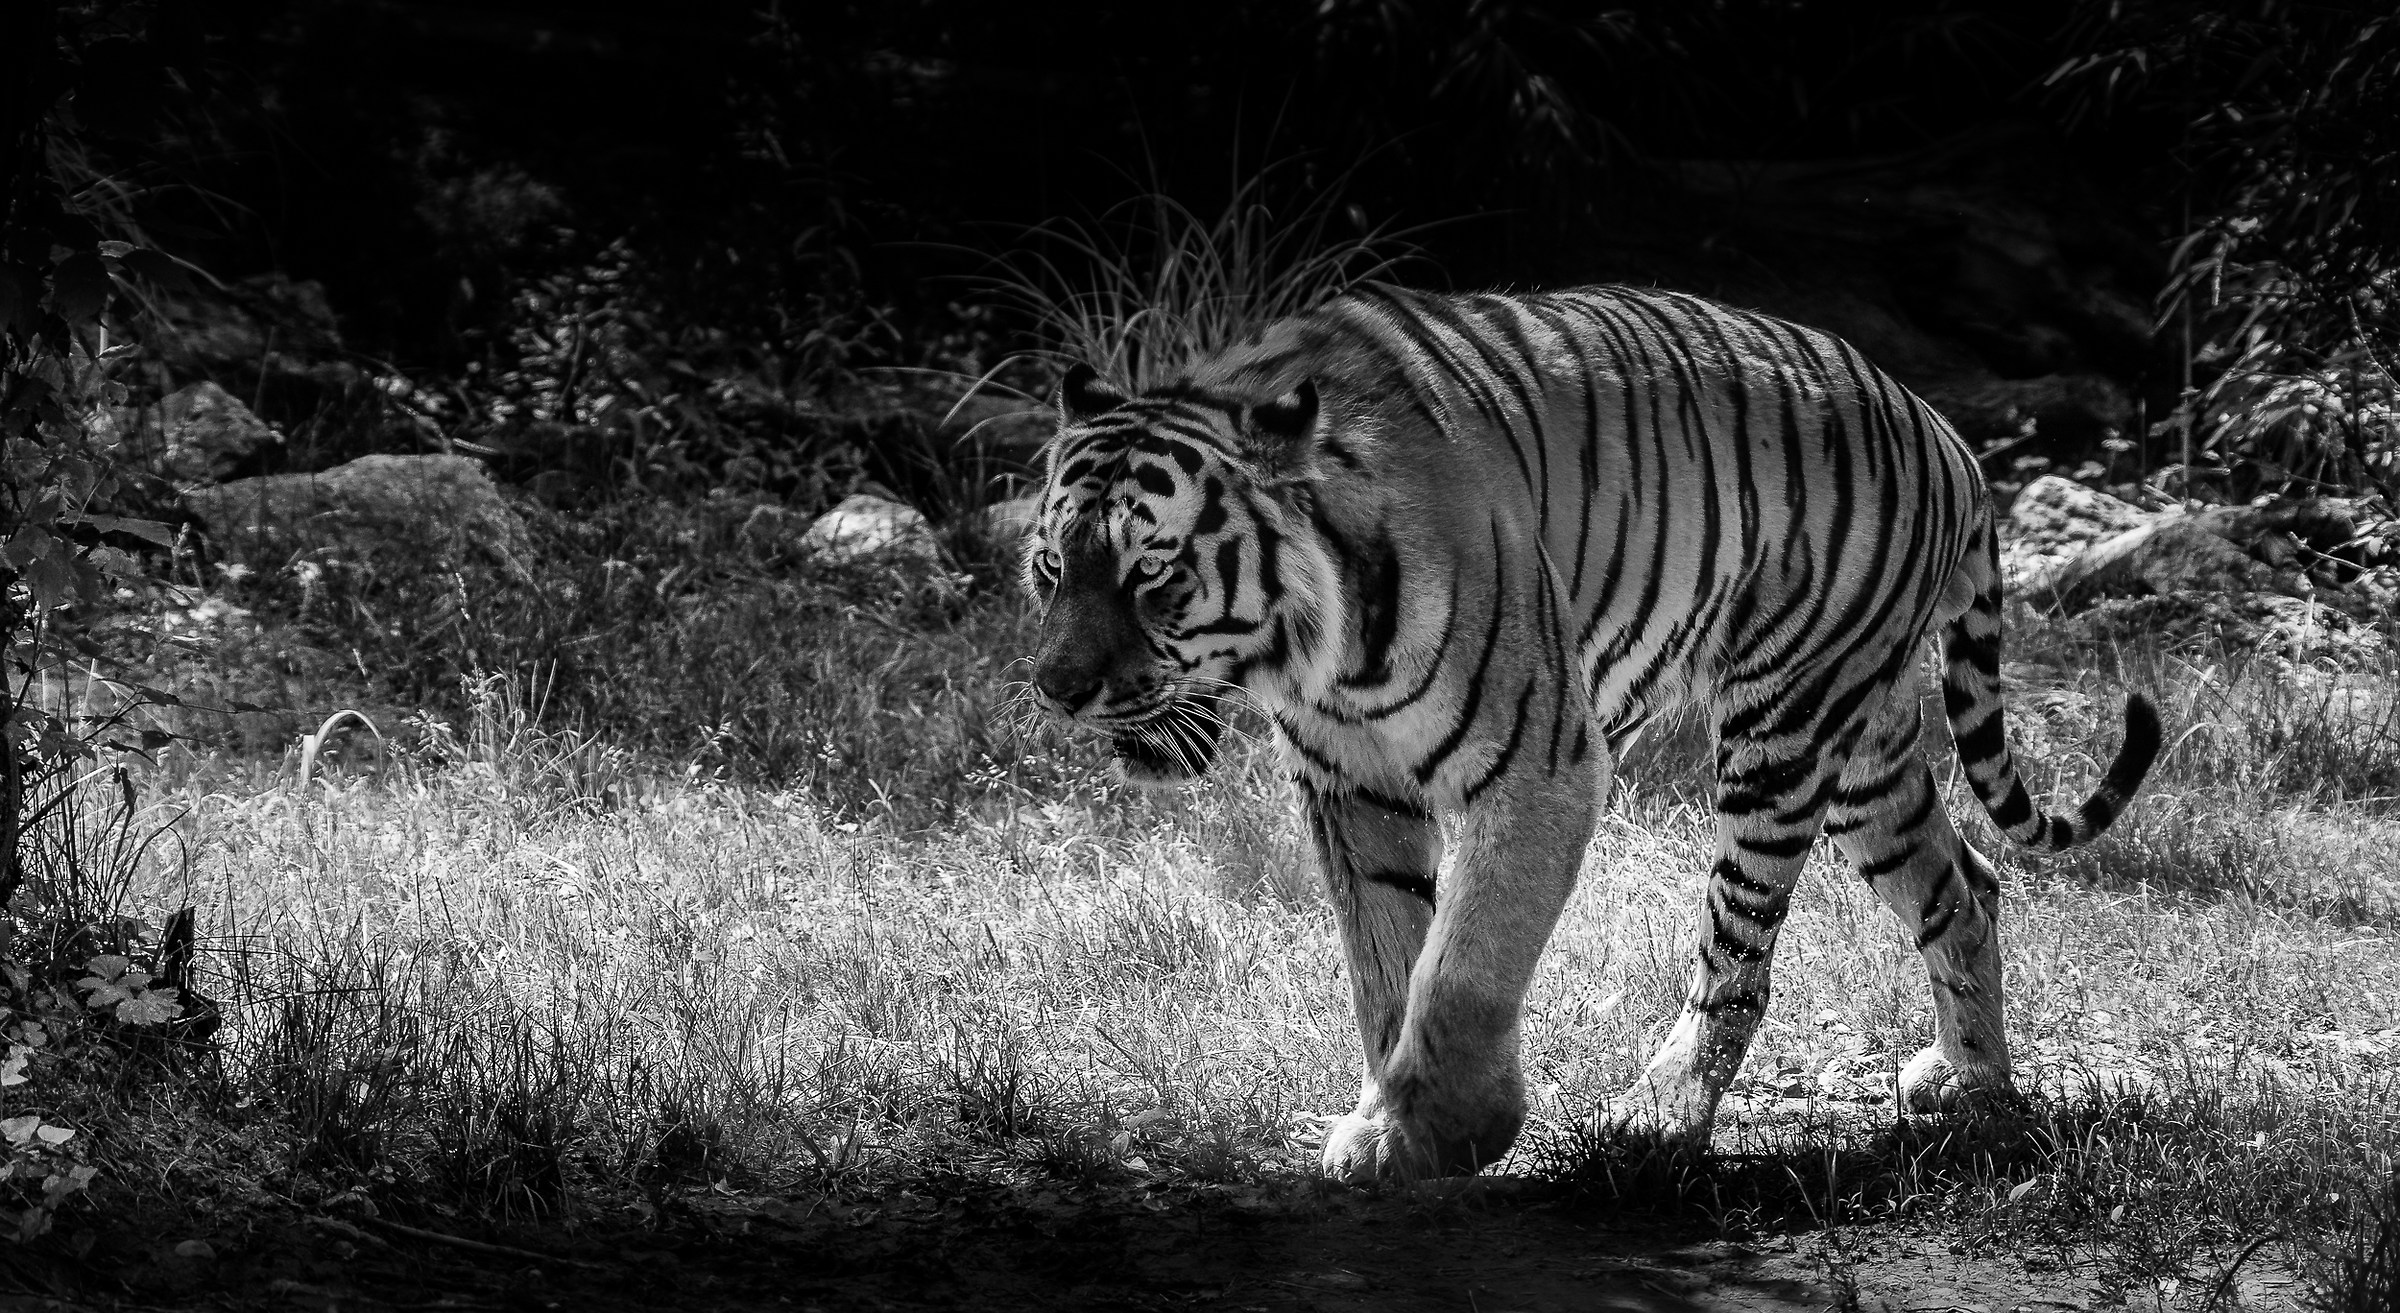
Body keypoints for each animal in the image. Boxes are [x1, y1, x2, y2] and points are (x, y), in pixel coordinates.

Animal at [1021, 283, 2159, 1183]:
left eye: (1152, 571)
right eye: (1050, 565)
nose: (1056, 686)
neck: (1313, 647)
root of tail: (1946, 432)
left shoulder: (1539, 766)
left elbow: (1464, 966)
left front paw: (1450, 1132)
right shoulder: (1352, 785)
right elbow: (1385, 964)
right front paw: (1389, 1117)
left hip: (1783, 727)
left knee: (1738, 955)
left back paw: (1659, 1115)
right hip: (1868, 747)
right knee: (1966, 882)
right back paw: (1971, 1089)